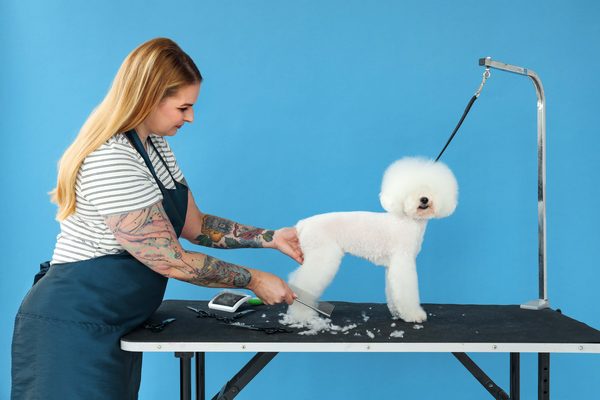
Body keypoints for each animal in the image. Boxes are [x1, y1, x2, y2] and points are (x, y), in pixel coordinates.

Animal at [288, 158, 458, 324]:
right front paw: (414, 314)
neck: (409, 220)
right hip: (322, 256)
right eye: (411, 190)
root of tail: (302, 224)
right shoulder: (403, 260)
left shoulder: (393, 265)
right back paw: (302, 315)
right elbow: (406, 290)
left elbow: (393, 290)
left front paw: (398, 312)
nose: (424, 199)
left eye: (430, 188)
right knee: (303, 284)